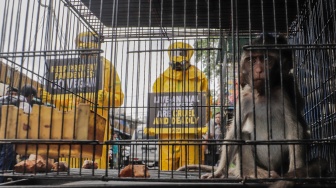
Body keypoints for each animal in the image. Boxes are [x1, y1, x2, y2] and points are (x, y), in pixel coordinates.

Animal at [177, 33, 326, 184]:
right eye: (252, 60)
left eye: (266, 59)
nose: (258, 70)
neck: (262, 94)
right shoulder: (244, 98)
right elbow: (235, 132)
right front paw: (218, 172)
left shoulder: (282, 95)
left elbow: (294, 128)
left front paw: (296, 172)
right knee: (243, 135)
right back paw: (253, 173)